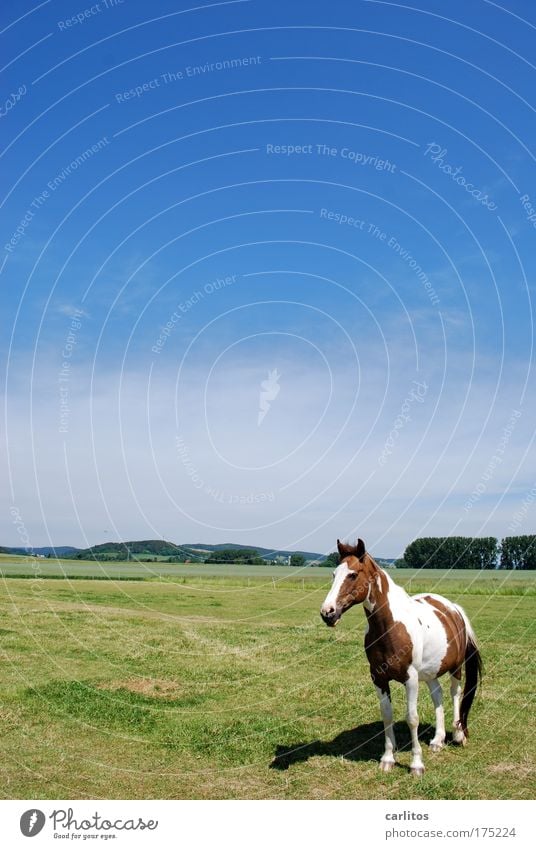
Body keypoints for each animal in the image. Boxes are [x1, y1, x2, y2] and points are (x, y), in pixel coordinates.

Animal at [318, 540, 482, 772]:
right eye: (334, 574)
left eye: (352, 575)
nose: (328, 613)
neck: (390, 627)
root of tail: (453, 609)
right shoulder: (378, 678)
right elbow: (387, 716)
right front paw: (388, 758)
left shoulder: (410, 679)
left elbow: (412, 718)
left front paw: (416, 764)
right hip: (430, 673)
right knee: (438, 695)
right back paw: (437, 740)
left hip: (456, 668)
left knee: (455, 693)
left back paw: (458, 735)